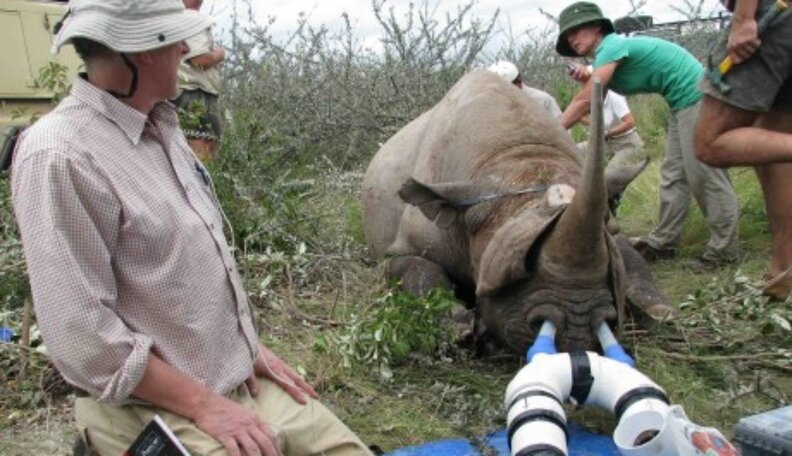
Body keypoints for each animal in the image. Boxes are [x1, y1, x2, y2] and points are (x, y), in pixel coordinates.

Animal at [361, 71, 670, 353]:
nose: (577, 331)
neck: (515, 159)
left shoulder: (608, 225)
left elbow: (628, 258)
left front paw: (658, 312)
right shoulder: (403, 247)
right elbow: (420, 270)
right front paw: (461, 329)